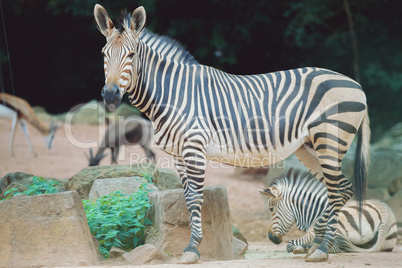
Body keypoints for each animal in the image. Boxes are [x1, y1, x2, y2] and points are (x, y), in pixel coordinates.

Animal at [93, 4, 370, 264]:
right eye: (104, 54)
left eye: (131, 55)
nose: (110, 95)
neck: (172, 94)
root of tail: (356, 84)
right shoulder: (178, 154)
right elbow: (187, 198)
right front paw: (191, 246)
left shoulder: (194, 147)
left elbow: (195, 199)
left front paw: (193, 249)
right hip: (309, 147)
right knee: (343, 188)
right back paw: (317, 244)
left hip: (330, 140)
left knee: (336, 190)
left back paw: (322, 248)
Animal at [260, 170, 398, 253]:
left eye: (271, 209)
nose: (270, 237)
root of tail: (386, 213)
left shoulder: (313, 231)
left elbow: (290, 244)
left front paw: (301, 248)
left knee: (334, 247)